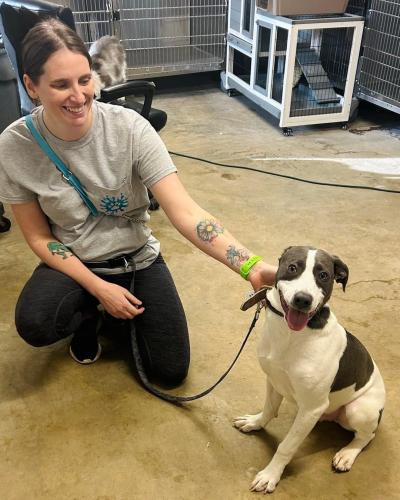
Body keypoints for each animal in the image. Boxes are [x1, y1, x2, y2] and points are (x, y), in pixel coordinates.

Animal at [236, 245, 386, 492]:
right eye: (292, 267)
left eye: (323, 275)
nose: (302, 300)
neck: (292, 334)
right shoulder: (274, 381)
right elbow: (268, 410)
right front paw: (256, 423)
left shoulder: (312, 408)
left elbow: (286, 446)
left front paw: (270, 475)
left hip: (358, 410)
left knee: (367, 436)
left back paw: (347, 454)